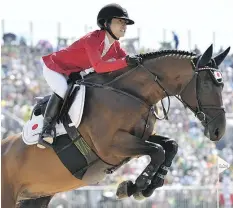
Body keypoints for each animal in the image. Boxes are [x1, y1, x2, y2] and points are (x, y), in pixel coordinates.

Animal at [1, 44, 229, 208]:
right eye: (207, 84)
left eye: (222, 85)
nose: (219, 131)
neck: (132, 94)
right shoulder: (111, 146)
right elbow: (157, 150)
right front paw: (135, 187)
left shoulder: (140, 136)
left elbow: (170, 145)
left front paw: (146, 186)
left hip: (35, 198)